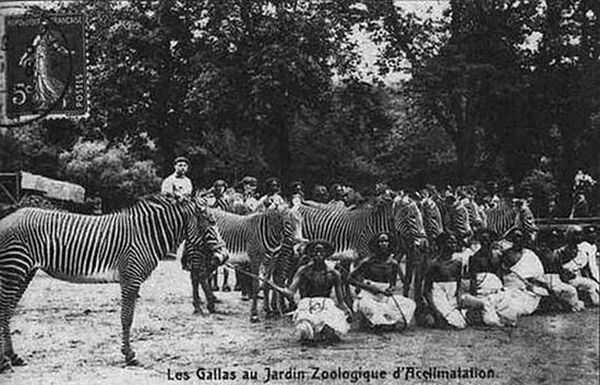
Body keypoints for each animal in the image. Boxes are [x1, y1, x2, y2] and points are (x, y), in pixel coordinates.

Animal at [0, 195, 227, 368]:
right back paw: (5, 361)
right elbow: (127, 318)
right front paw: (129, 355)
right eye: (211, 223)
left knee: (8, 310)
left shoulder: (131, 280)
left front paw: (128, 352)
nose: (224, 257)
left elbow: (127, 318)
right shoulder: (131, 278)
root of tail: (9, 217)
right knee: (5, 309)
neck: (145, 235)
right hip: (14, 268)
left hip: (24, 271)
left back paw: (13, 356)